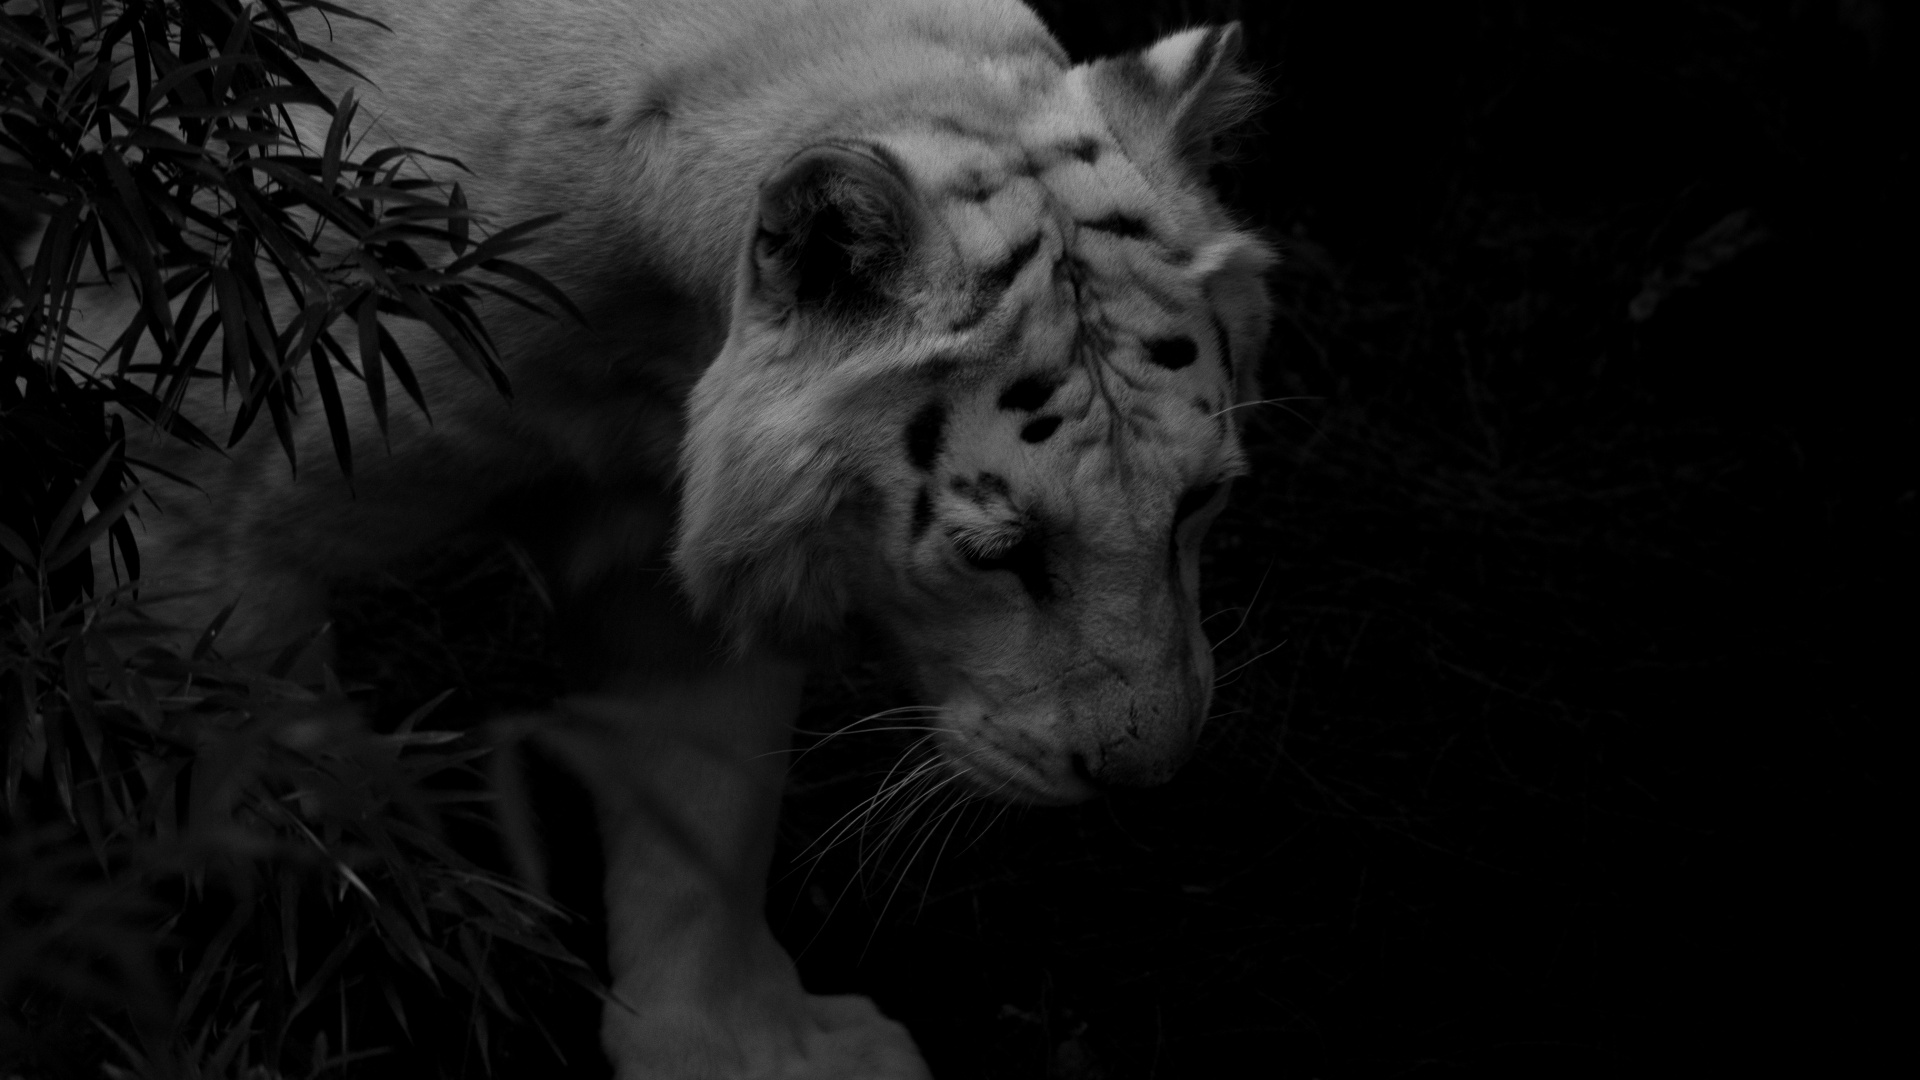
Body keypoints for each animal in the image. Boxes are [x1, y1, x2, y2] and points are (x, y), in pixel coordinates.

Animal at [85, 0, 1276, 1076]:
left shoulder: (677, 557)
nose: (1146, 774)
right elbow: (285, 809)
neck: (640, 329)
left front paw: (736, 1048)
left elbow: (704, 815)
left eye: (1198, 503)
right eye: (1001, 553)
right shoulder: (195, 520)